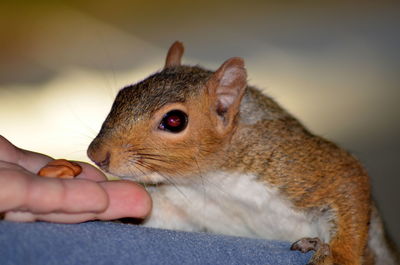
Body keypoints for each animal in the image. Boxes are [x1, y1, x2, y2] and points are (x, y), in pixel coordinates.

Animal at [86, 41, 396, 264]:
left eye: (175, 120)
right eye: (123, 94)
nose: (96, 154)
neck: (212, 180)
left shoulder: (295, 163)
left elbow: (348, 180)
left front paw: (337, 256)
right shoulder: (181, 207)